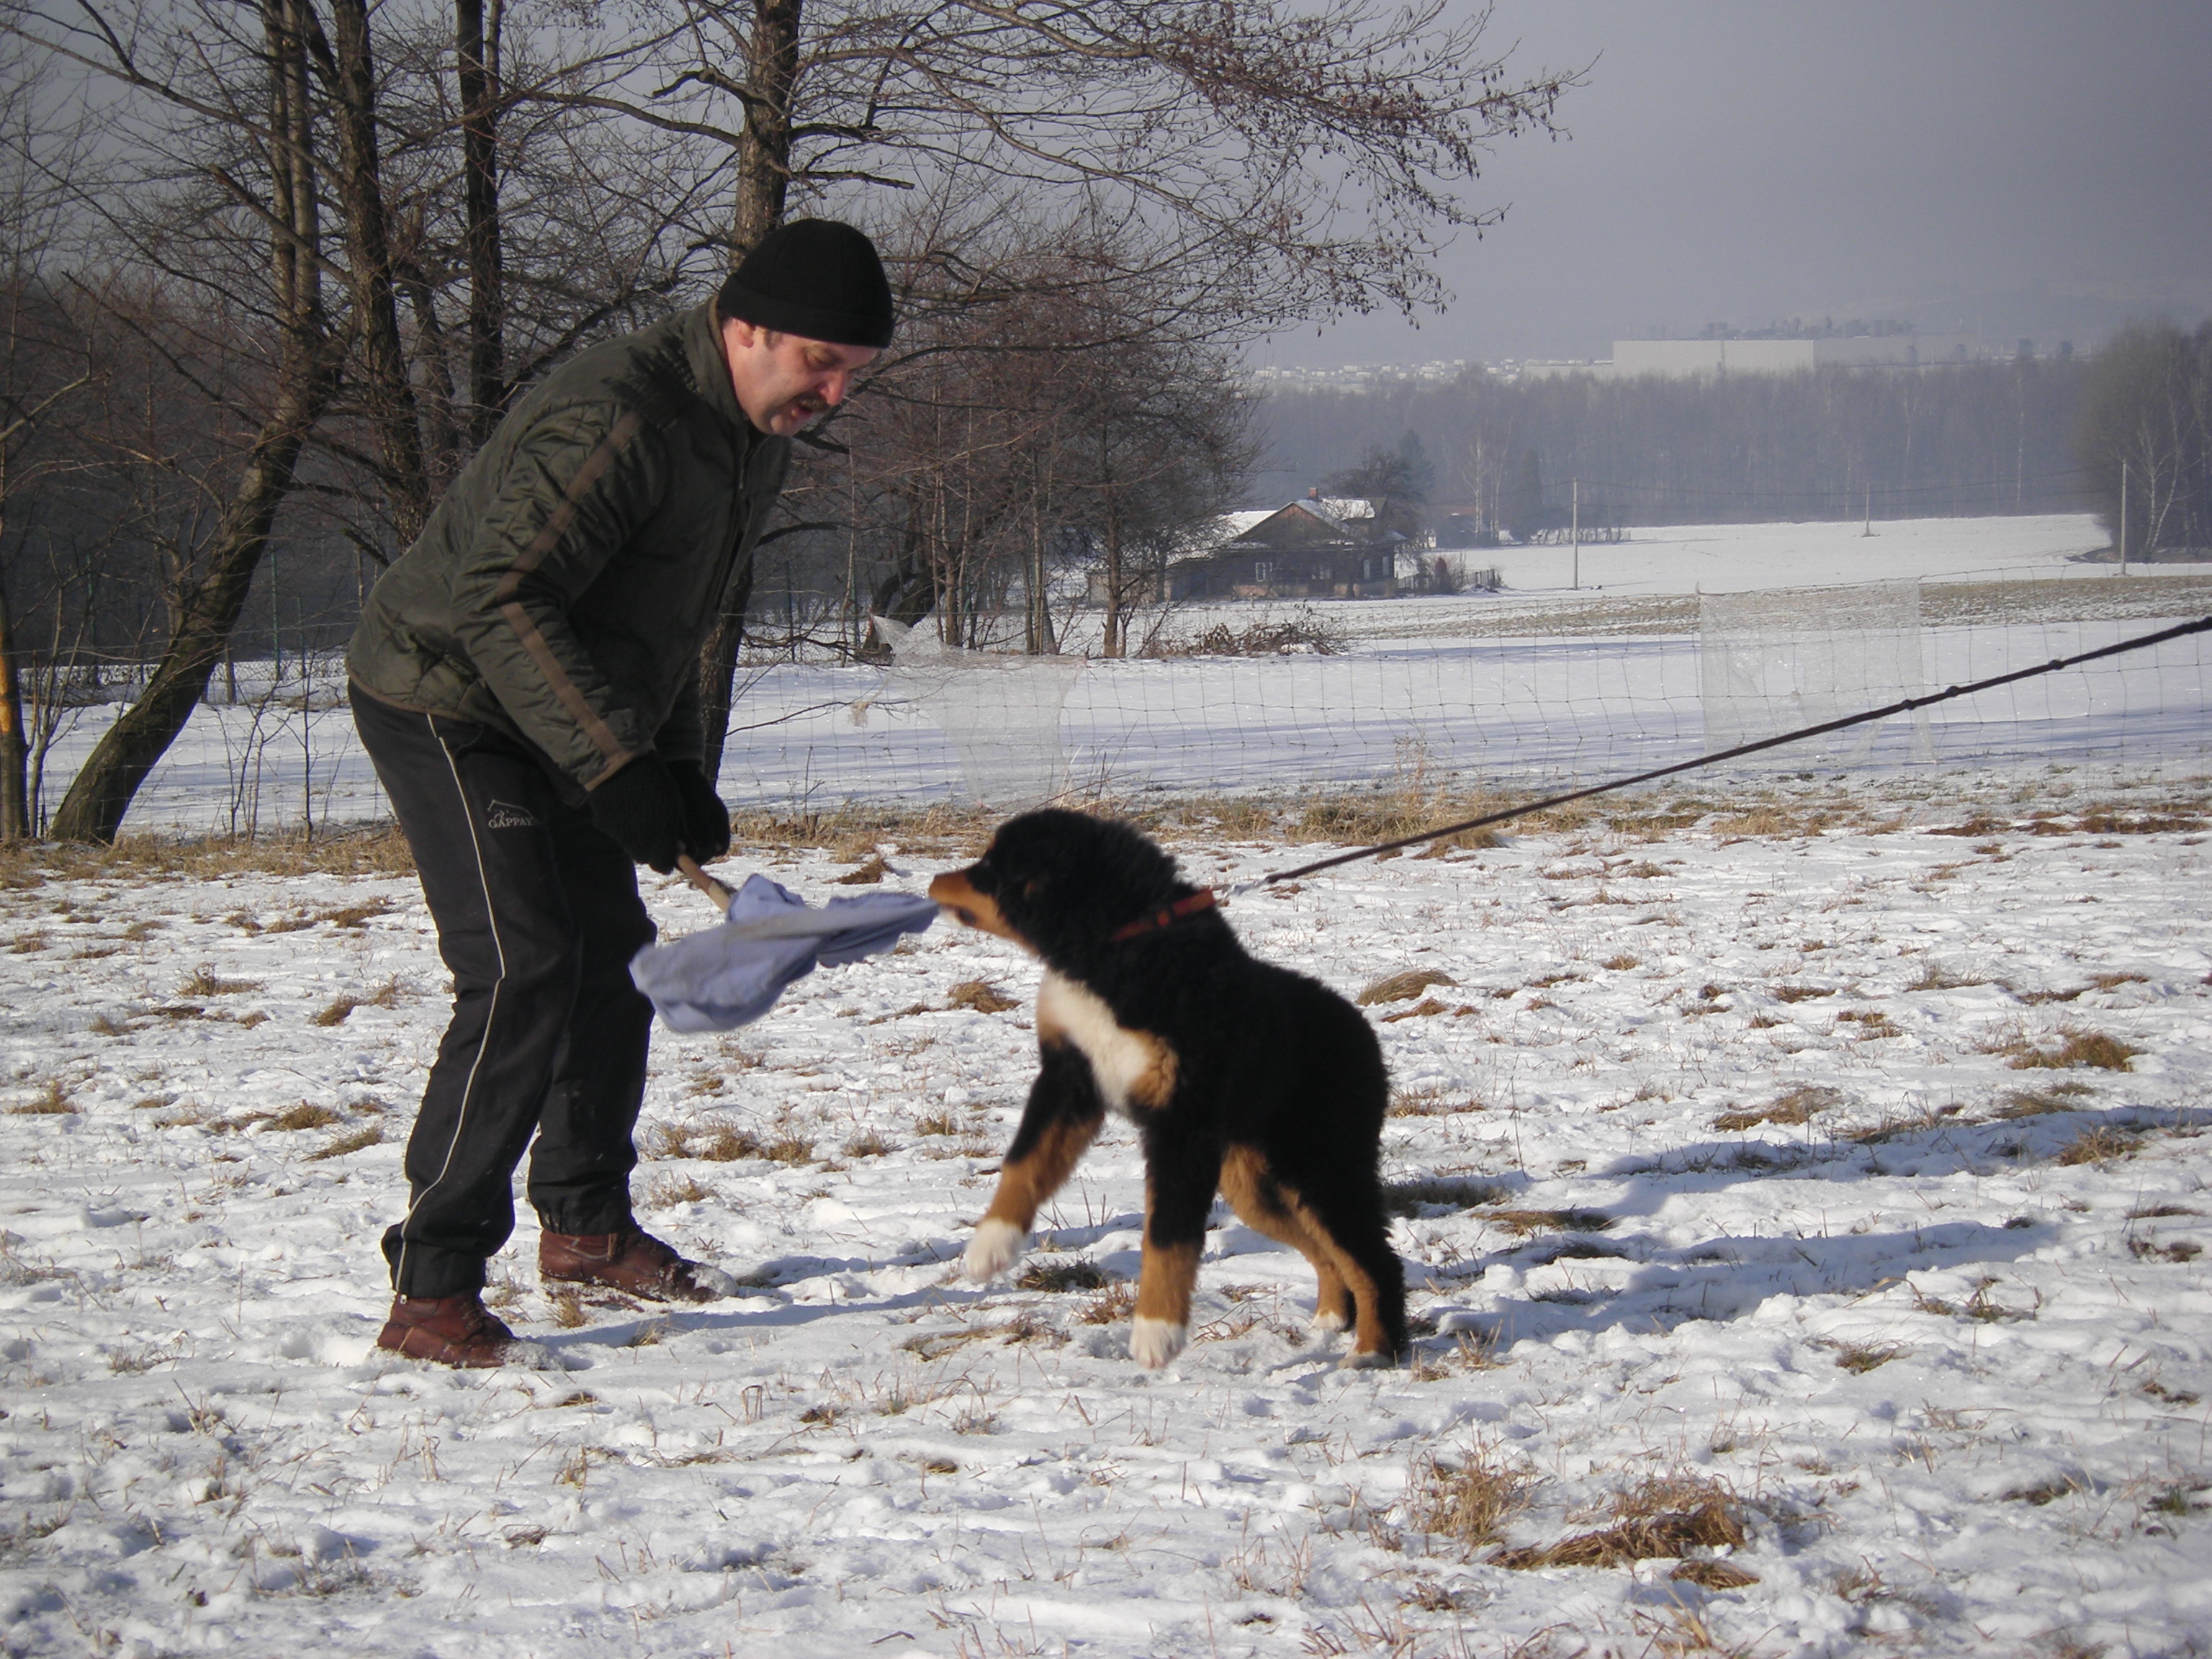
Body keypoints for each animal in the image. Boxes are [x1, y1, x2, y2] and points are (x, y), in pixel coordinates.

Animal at [929, 814, 1406, 1371]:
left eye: (991, 867)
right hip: (1254, 1186)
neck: (1115, 951)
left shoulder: (1182, 1120)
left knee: (1373, 1257)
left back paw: (1373, 1349)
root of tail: (1362, 1028)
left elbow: (1168, 1233)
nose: (934, 881)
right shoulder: (1070, 1080)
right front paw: (990, 1246)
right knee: (1325, 1250)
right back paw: (1332, 1317)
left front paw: (1157, 1332)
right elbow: (1024, 1163)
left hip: (1324, 1164)